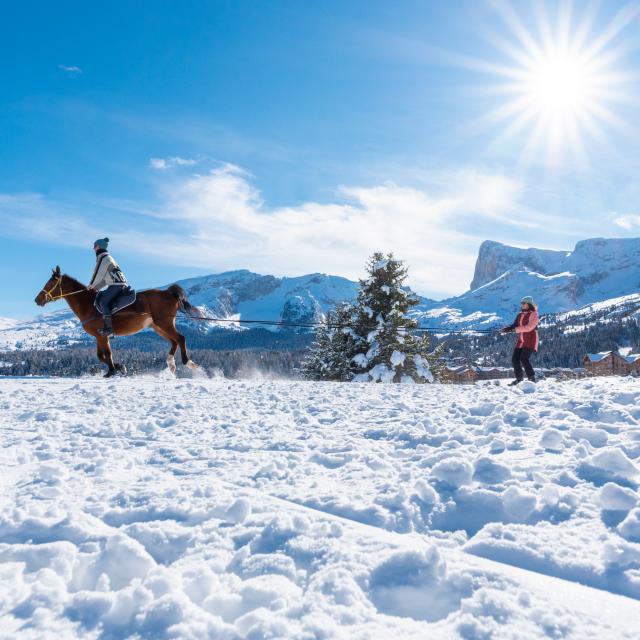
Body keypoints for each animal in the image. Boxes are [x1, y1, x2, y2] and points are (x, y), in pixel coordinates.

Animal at [35, 266, 199, 378]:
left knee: (180, 338)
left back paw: (188, 363)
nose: (37, 300)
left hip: (165, 323)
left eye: (50, 283)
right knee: (174, 341)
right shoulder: (100, 336)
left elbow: (107, 354)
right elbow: (101, 356)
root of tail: (168, 293)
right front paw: (119, 367)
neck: (88, 304)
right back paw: (171, 364)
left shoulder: (102, 335)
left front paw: (112, 371)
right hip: (158, 326)